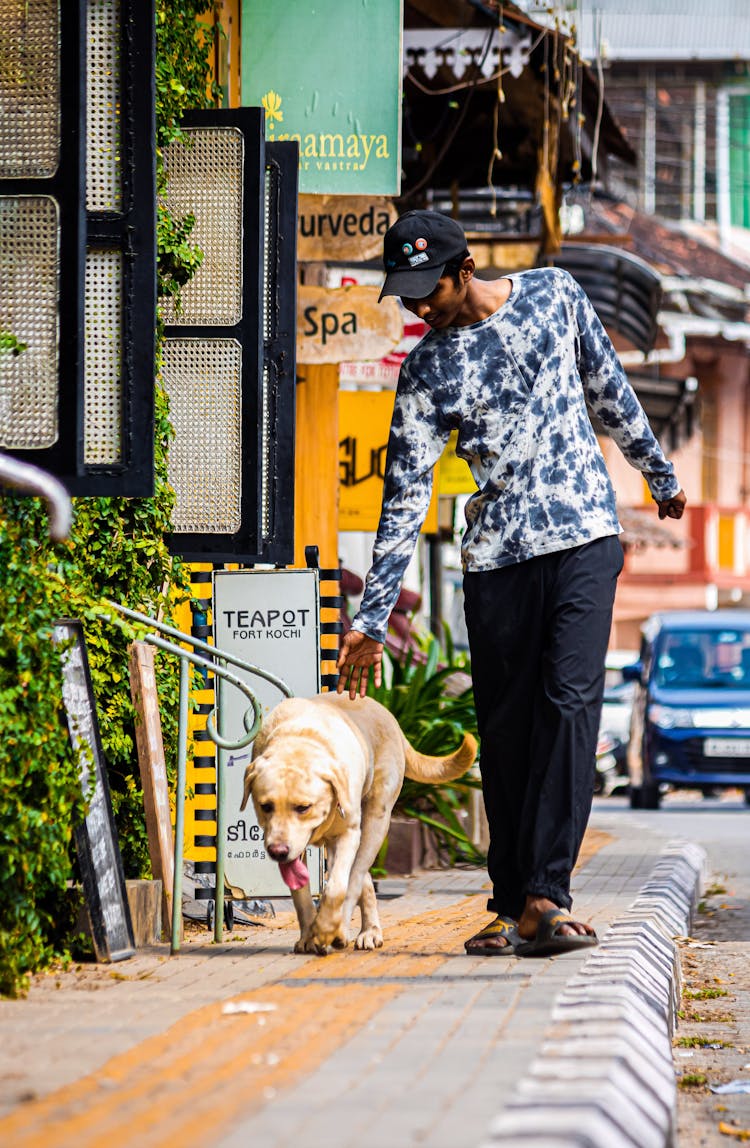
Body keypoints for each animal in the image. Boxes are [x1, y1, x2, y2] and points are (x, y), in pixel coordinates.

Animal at [240, 693, 473, 955]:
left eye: (303, 807)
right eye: (266, 806)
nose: (278, 851)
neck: (301, 738)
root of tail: (385, 712)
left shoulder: (348, 834)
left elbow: (337, 887)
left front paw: (327, 928)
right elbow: (300, 893)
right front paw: (308, 935)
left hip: (374, 822)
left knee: (356, 877)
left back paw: (350, 931)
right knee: (364, 880)